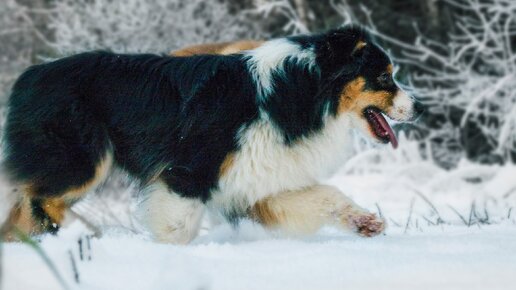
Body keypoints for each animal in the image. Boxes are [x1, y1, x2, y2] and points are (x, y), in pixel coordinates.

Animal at [1, 26, 424, 242]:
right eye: (384, 77)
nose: (418, 108)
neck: (298, 93)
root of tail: (26, 76)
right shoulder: (188, 172)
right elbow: (178, 228)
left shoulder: (257, 180)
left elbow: (324, 196)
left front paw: (364, 222)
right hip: (81, 161)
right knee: (39, 201)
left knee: (26, 211)